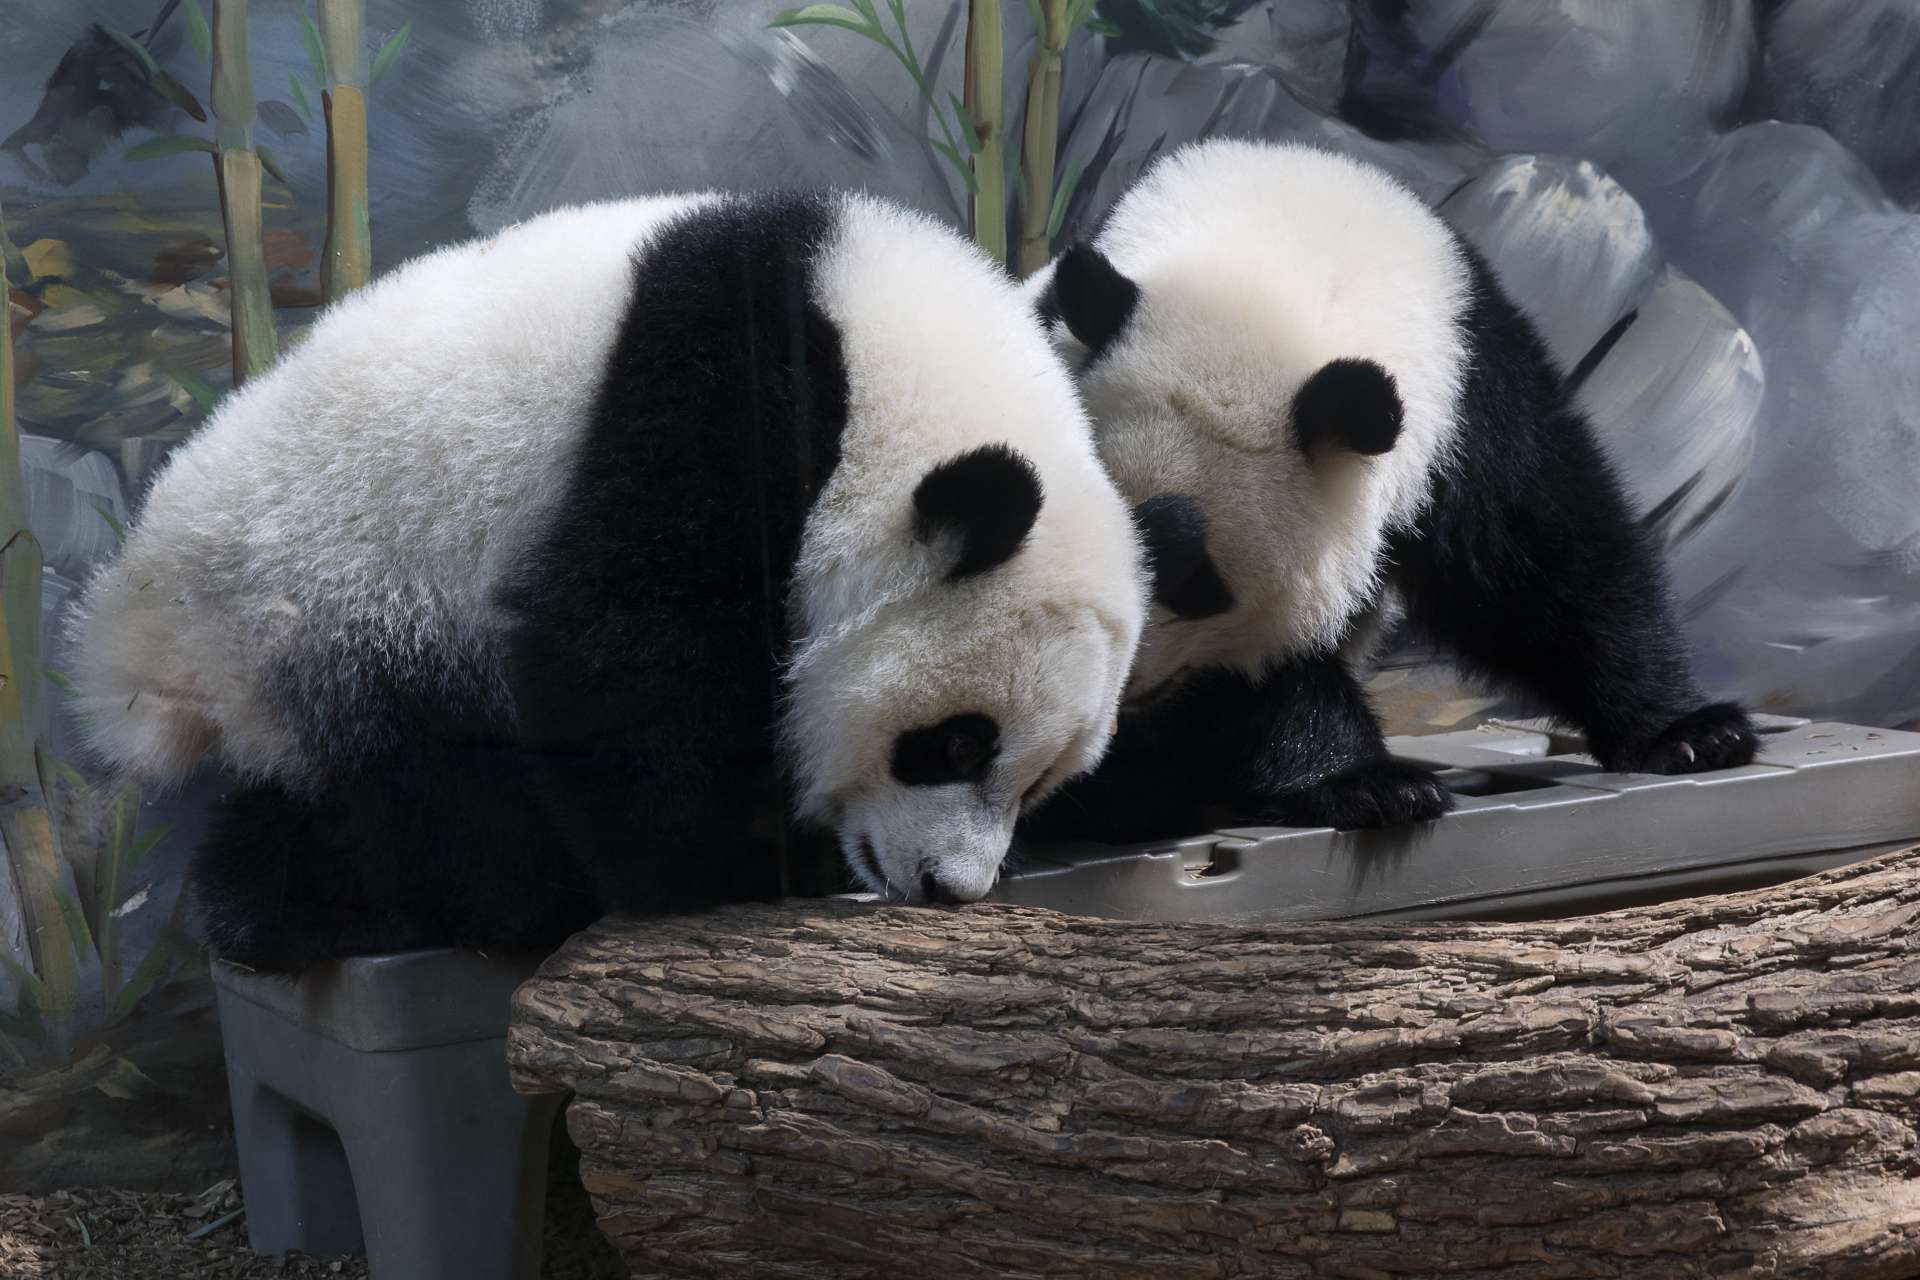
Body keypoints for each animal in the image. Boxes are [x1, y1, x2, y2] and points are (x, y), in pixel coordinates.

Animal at [69, 190, 1146, 971]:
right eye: (955, 742)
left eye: (1045, 778)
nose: (949, 885)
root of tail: (142, 611)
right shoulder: (723, 379)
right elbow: (622, 641)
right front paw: (734, 863)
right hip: (340, 594)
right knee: (433, 778)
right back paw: (487, 899)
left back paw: (269, 899)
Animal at [1019, 138, 1756, 844]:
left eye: (1195, 580)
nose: (1112, 690)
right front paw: (1370, 785)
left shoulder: (1469, 390)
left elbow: (1542, 560)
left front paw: (1692, 733)